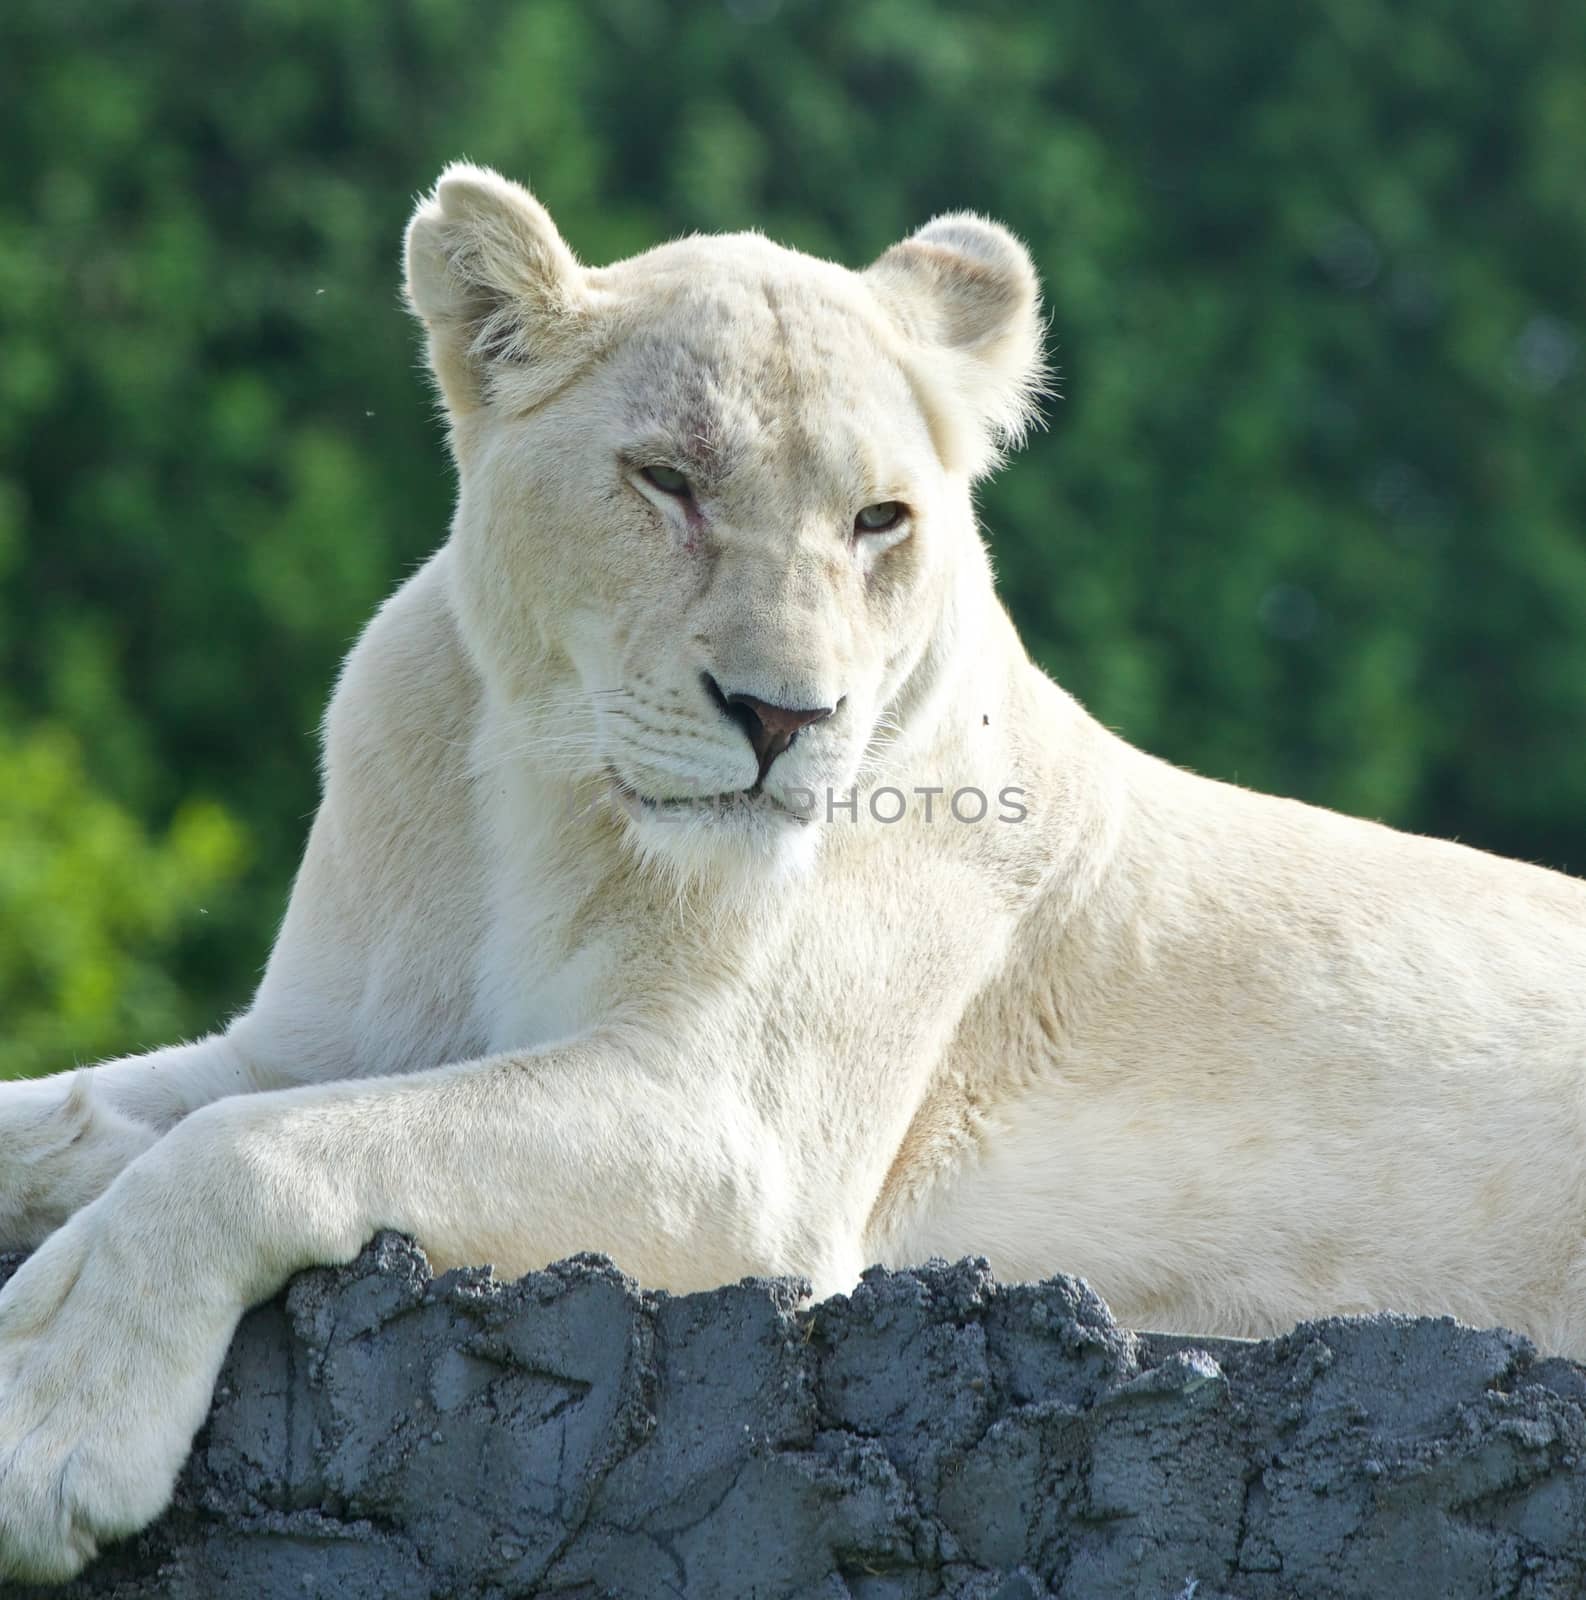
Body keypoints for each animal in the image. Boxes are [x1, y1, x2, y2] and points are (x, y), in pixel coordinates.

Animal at [3, 162, 1586, 1574]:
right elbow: (124, 1115)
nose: (783, 717)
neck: (538, 796)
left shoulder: (732, 1141)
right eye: (665, 480)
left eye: (877, 518)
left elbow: (250, 1147)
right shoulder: (314, 1039)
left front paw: (54, 1426)